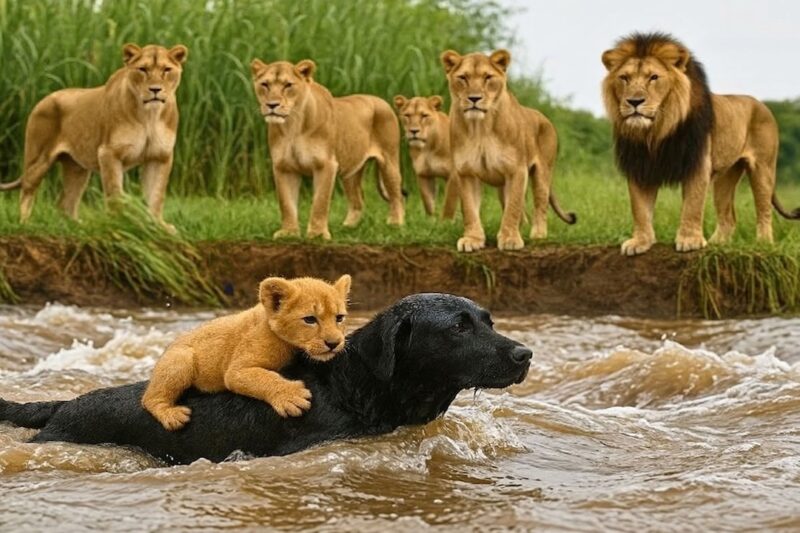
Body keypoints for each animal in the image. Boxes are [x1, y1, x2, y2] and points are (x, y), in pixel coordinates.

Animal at [0, 43, 188, 232]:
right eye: (143, 69)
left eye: (166, 70)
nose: (155, 89)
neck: (150, 116)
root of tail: (43, 99)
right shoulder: (109, 153)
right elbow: (114, 192)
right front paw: (118, 224)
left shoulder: (160, 157)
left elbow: (156, 195)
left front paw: (158, 226)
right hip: (38, 159)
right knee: (27, 190)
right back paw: (25, 224)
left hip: (77, 168)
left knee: (65, 203)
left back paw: (78, 227)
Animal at [142, 275, 351, 430]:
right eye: (310, 319)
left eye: (339, 318)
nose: (334, 343)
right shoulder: (236, 370)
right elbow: (263, 378)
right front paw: (292, 397)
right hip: (181, 359)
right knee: (149, 398)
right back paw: (172, 415)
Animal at [251, 59, 405, 240]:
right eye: (265, 84)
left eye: (288, 85)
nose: (272, 105)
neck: (292, 125)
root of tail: (382, 101)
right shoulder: (283, 167)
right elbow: (286, 203)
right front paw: (289, 233)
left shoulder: (326, 164)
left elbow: (320, 201)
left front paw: (317, 234)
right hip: (350, 172)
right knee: (357, 201)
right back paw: (348, 227)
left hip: (389, 161)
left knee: (397, 196)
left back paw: (395, 224)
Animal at [440, 49, 577, 252]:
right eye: (463, 77)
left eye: (488, 77)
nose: (474, 98)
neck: (481, 128)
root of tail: (544, 118)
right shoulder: (466, 173)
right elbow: (470, 209)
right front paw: (472, 239)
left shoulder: (517, 170)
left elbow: (513, 206)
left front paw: (510, 239)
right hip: (502, 185)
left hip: (542, 173)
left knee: (540, 203)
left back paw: (538, 235)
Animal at [602, 32, 800, 256]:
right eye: (624, 78)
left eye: (653, 77)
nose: (634, 101)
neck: (655, 133)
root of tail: (762, 105)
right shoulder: (639, 167)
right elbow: (640, 209)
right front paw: (640, 242)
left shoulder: (697, 164)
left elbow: (692, 205)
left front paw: (690, 241)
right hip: (726, 176)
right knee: (728, 217)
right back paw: (716, 244)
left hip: (763, 168)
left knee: (764, 209)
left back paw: (764, 244)